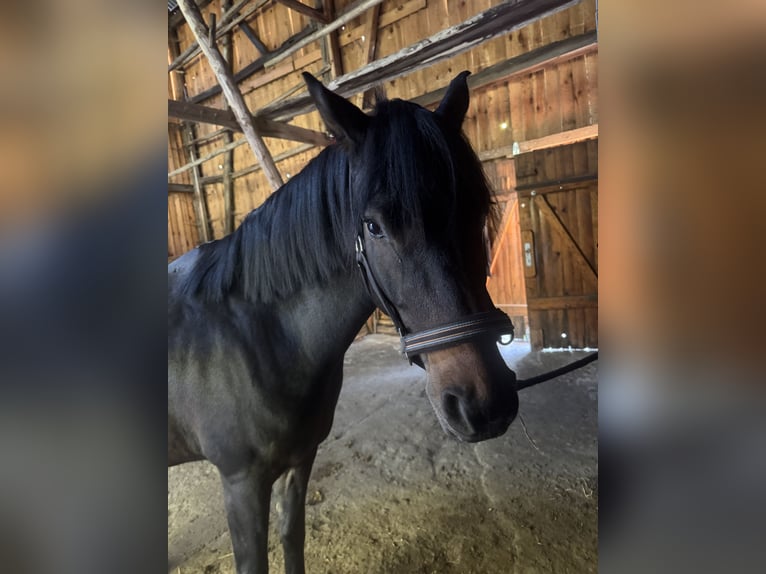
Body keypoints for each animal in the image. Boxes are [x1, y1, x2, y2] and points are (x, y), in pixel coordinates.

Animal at [168, 71, 519, 574]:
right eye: (373, 226)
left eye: (475, 209)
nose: (483, 403)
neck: (260, 337)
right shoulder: (241, 483)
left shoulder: (301, 460)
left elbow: (292, 538)